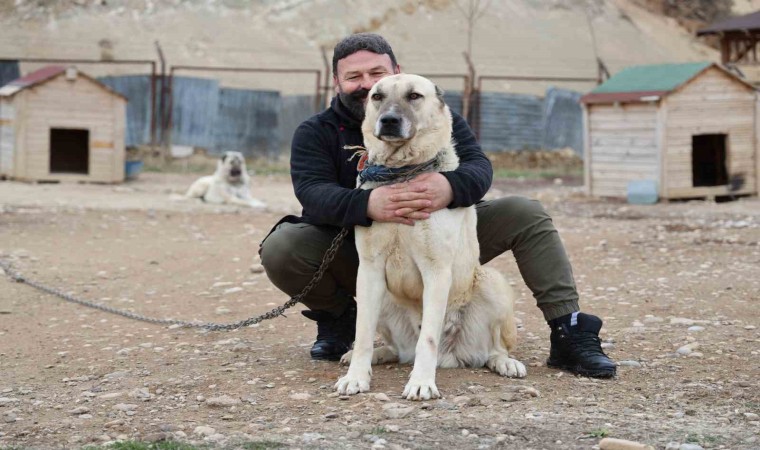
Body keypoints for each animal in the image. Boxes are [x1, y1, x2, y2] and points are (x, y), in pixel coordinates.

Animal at [335, 74, 527, 401]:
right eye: (377, 96)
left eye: (414, 96)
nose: (388, 120)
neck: (401, 174)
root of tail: (451, 356)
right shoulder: (370, 270)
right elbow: (362, 334)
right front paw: (356, 377)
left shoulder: (437, 271)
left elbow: (428, 338)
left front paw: (422, 382)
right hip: (382, 299)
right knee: (396, 349)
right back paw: (377, 355)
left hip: (492, 282)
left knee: (492, 349)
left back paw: (505, 363)